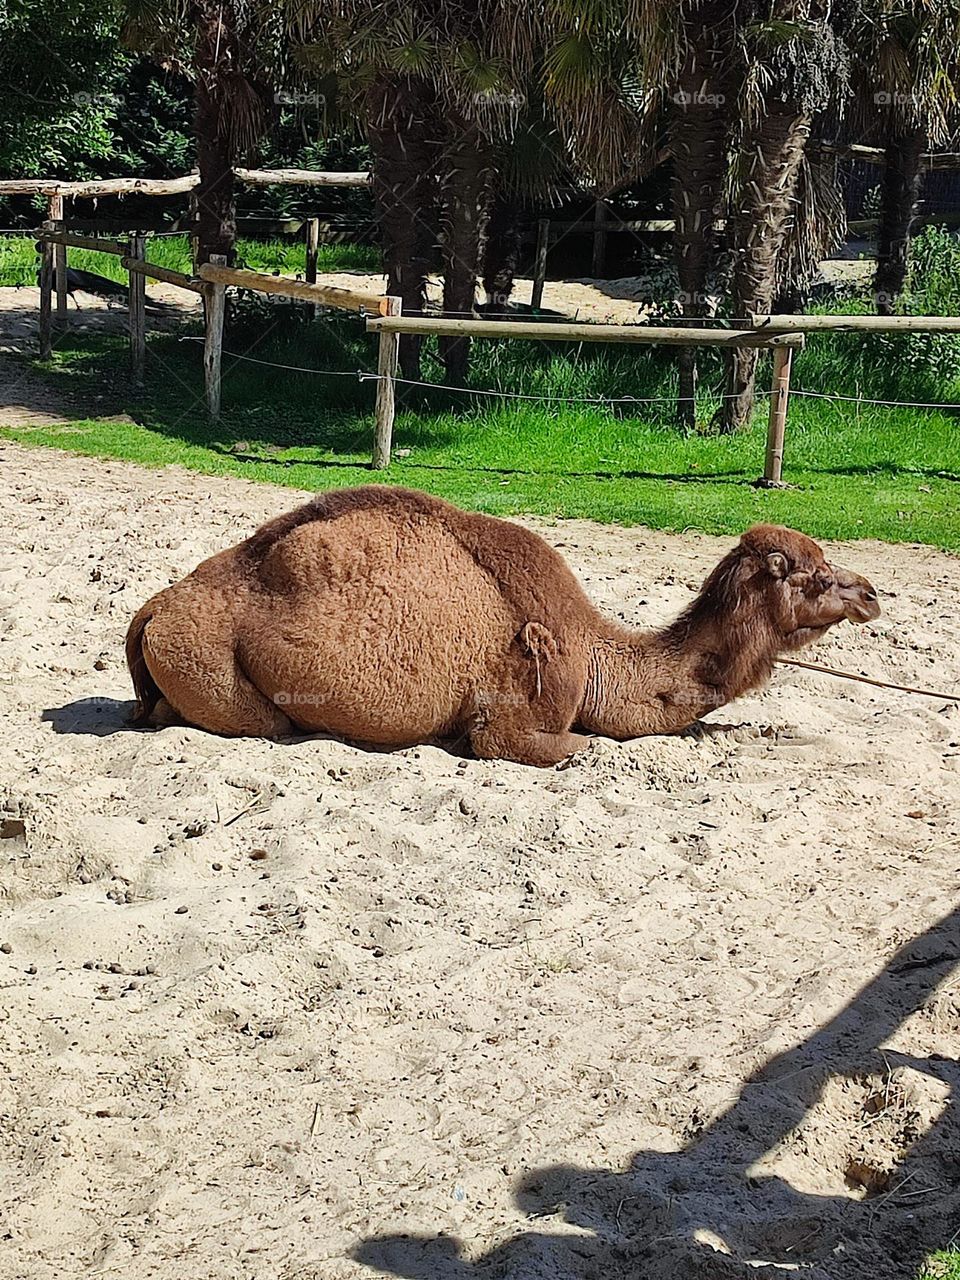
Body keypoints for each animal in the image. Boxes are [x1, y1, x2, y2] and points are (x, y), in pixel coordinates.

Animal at [125, 486, 880, 767]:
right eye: (814, 574)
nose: (871, 594)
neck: (593, 654)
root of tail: (154, 609)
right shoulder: (513, 722)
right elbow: (575, 746)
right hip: (222, 677)